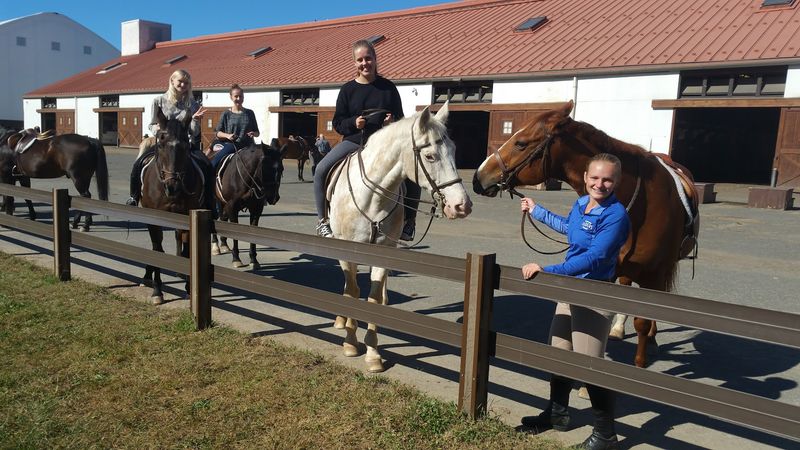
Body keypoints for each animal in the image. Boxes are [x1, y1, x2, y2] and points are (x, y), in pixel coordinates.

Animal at [138, 109, 205, 305]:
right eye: (161, 142)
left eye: (185, 145)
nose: (172, 186)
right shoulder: (154, 220)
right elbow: (157, 249)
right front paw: (157, 291)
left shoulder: (188, 217)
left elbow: (189, 249)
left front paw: (189, 288)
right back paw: (147, 276)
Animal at [328, 103, 472, 373]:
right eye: (430, 156)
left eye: (454, 151)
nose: (462, 205)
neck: (372, 196)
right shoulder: (347, 250)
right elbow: (352, 291)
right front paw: (351, 343)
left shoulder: (384, 250)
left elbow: (373, 298)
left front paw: (373, 354)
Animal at [472, 101, 699, 368]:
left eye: (520, 143)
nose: (478, 178)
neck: (642, 204)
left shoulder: (655, 274)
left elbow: (644, 321)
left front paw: (641, 362)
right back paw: (618, 329)